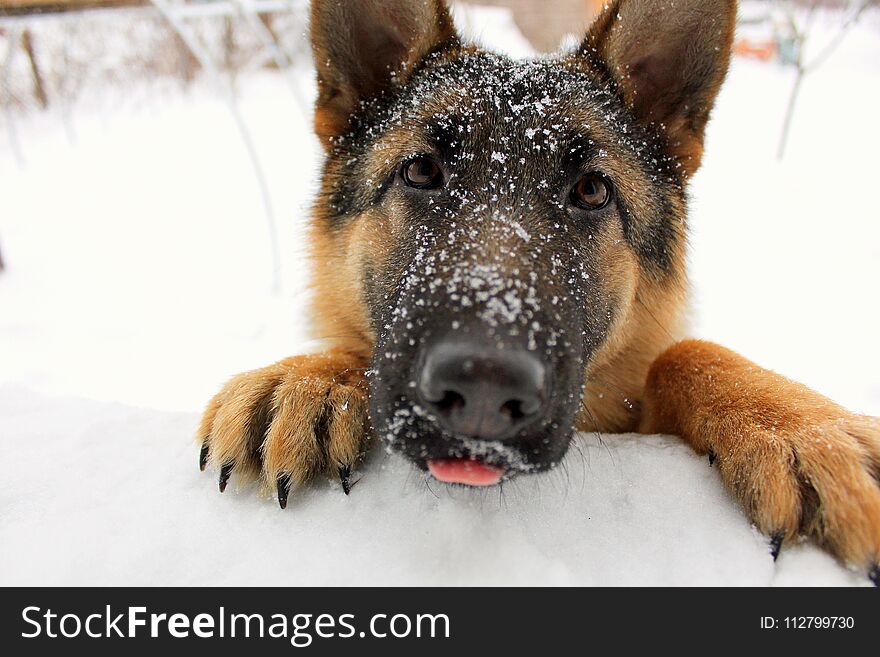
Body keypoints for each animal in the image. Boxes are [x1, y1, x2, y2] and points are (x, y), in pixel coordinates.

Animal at [196, 0, 880, 584]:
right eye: (421, 171)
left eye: (592, 191)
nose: (481, 388)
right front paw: (311, 377)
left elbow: (682, 354)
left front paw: (797, 427)